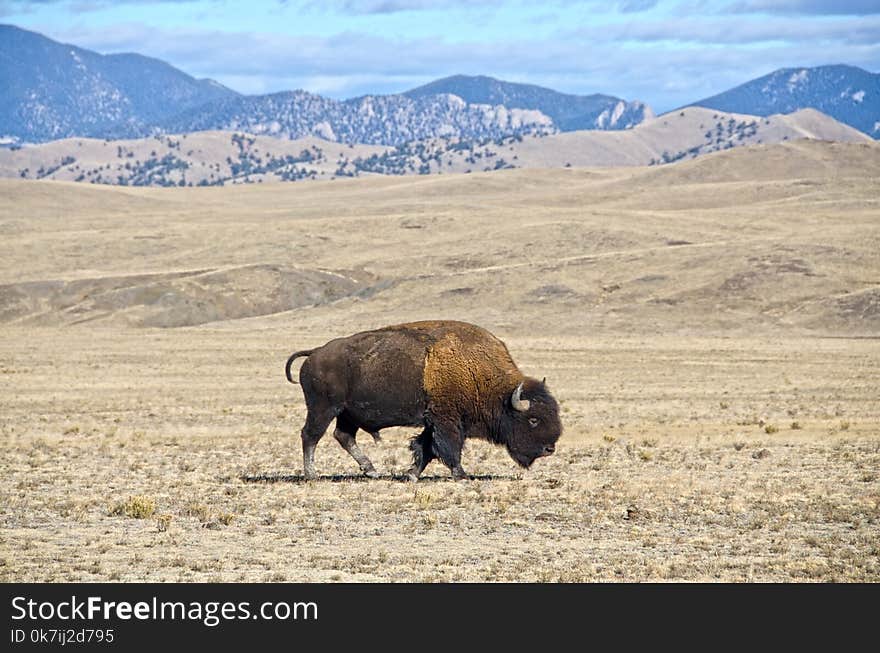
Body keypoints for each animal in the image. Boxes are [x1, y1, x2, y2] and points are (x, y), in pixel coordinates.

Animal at [286, 320, 560, 478]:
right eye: (533, 420)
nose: (549, 449)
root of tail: (315, 353)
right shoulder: (446, 420)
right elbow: (447, 447)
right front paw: (462, 474)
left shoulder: (433, 421)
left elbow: (425, 448)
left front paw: (411, 474)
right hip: (324, 408)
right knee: (311, 435)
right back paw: (312, 475)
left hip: (348, 414)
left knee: (343, 436)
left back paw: (372, 471)